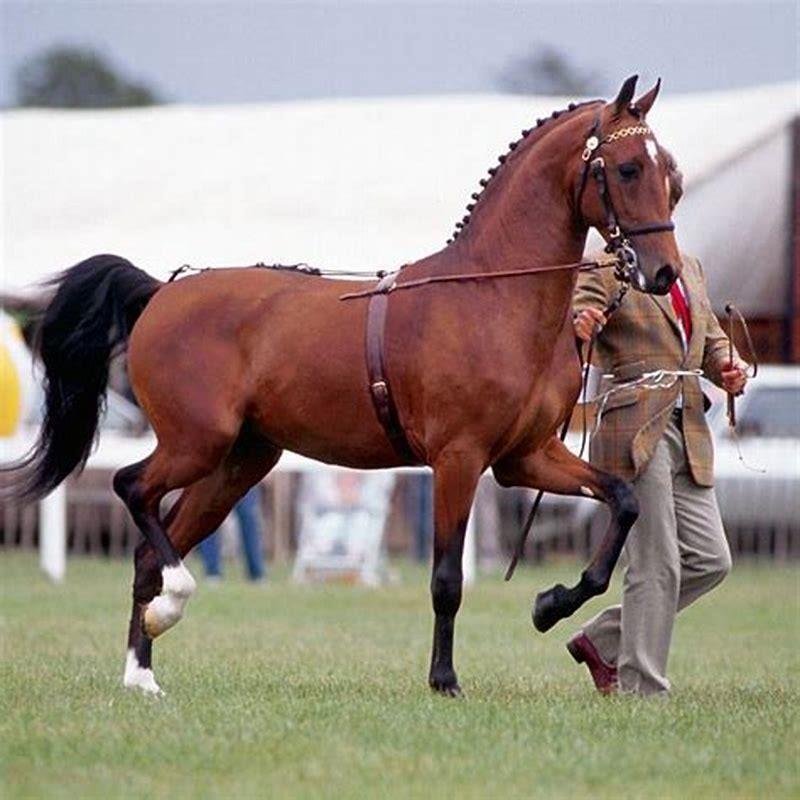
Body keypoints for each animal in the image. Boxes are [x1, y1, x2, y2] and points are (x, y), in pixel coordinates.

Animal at [5, 75, 681, 697]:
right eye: (626, 169)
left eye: (670, 174)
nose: (663, 273)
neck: (491, 296)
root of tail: (161, 292)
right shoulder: (458, 460)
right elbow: (446, 580)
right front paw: (444, 680)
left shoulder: (525, 458)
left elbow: (623, 500)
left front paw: (550, 604)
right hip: (195, 444)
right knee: (130, 489)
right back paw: (169, 607)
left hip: (237, 465)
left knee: (153, 545)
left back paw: (142, 672)